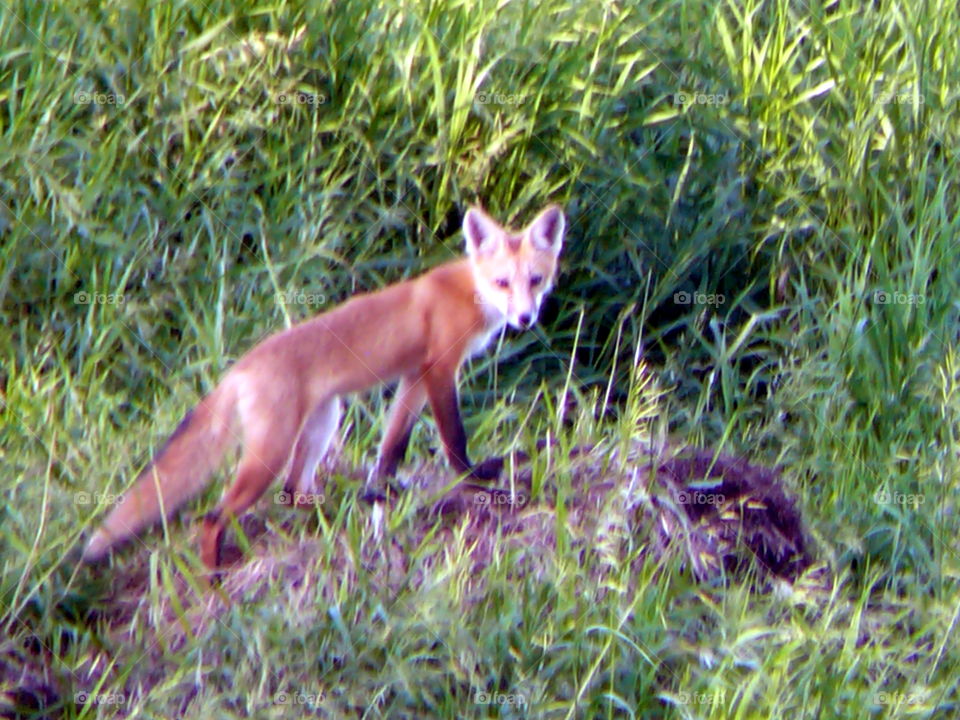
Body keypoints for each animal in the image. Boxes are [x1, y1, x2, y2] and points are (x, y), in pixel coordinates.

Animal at [82, 204, 565, 570]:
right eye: (502, 283)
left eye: (535, 280)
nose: (526, 319)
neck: (468, 292)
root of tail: (240, 367)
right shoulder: (441, 370)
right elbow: (454, 440)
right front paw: (476, 481)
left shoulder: (414, 376)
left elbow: (392, 444)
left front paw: (380, 492)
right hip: (270, 452)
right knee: (215, 516)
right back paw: (213, 577)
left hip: (323, 422)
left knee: (292, 492)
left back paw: (329, 511)